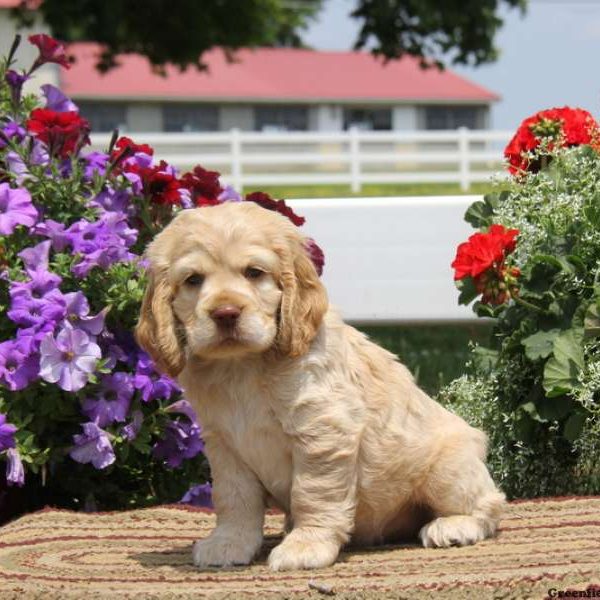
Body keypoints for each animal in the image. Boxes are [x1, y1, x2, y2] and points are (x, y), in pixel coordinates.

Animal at [136, 203, 506, 572]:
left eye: (254, 273)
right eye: (193, 280)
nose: (225, 313)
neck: (241, 367)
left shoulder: (322, 432)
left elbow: (312, 494)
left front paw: (305, 546)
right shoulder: (225, 446)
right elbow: (234, 498)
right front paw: (229, 543)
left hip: (446, 470)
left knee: (490, 503)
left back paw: (453, 526)